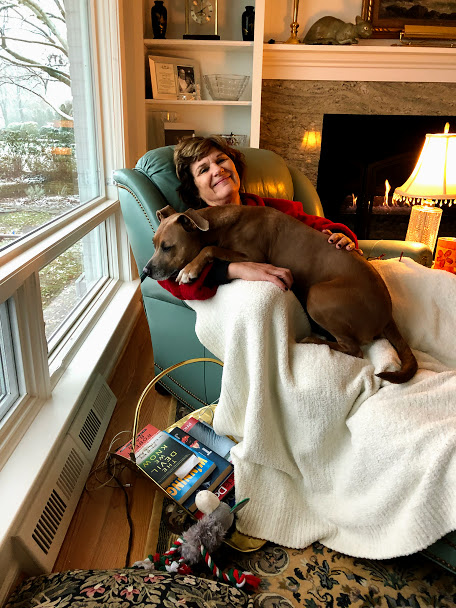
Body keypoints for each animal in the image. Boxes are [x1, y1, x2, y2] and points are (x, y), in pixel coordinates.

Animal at [144, 204, 418, 384]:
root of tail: (387, 314)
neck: (221, 224)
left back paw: (312, 340)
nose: (145, 270)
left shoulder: (252, 256)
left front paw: (190, 269)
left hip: (318, 296)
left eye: (167, 247)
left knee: (354, 349)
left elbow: (210, 248)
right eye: (153, 244)